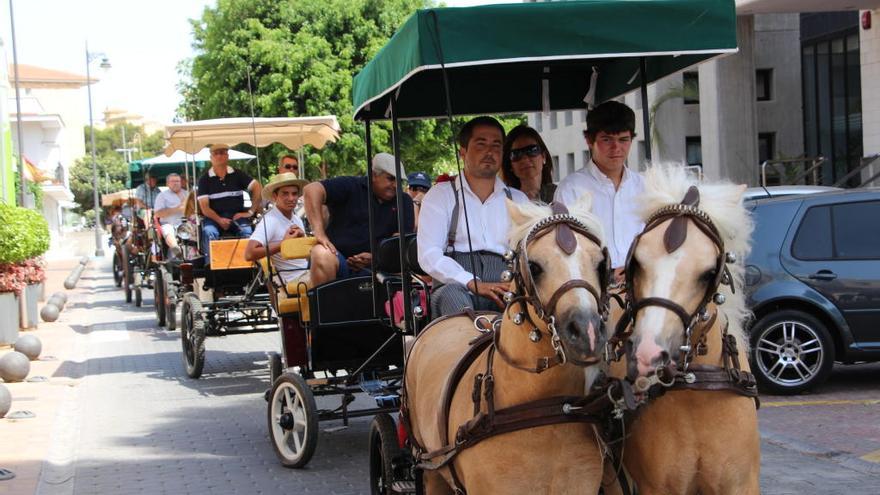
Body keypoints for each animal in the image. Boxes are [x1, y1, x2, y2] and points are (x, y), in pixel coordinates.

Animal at [604, 166, 764, 495]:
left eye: (708, 272)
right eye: (637, 262)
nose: (648, 354)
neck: (696, 390)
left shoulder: (742, 484)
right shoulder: (657, 487)